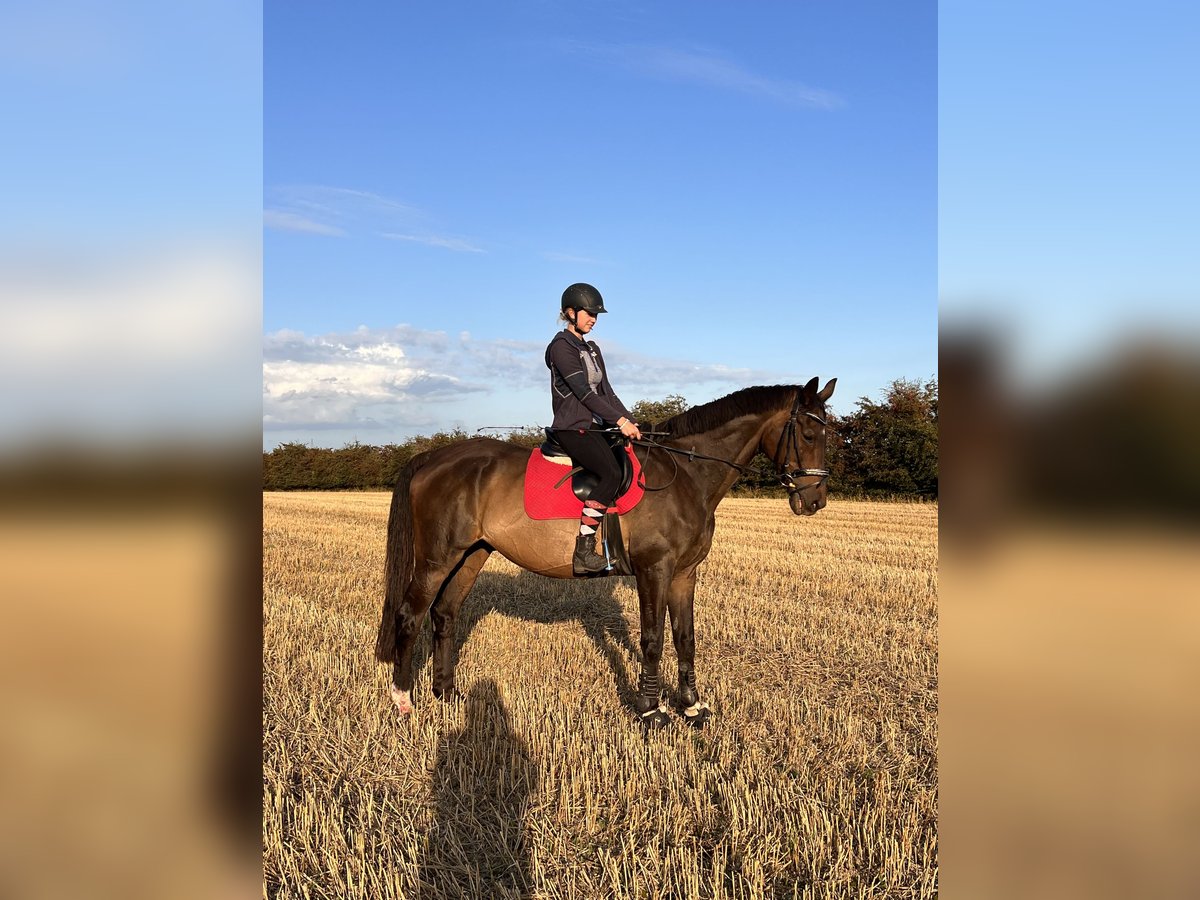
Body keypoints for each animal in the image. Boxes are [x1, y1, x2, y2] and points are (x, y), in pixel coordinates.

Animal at [374, 376, 835, 729]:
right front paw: (651, 711)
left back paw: (446, 693)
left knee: (444, 614)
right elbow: (653, 639)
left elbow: (685, 638)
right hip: (436, 559)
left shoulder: (685, 573)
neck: (687, 475)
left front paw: (692, 707)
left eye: (829, 435)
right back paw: (403, 700)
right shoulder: (655, 570)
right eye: (809, 434)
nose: (815, 501)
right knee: (410, 616)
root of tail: (433, 457)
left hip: (472, 554)